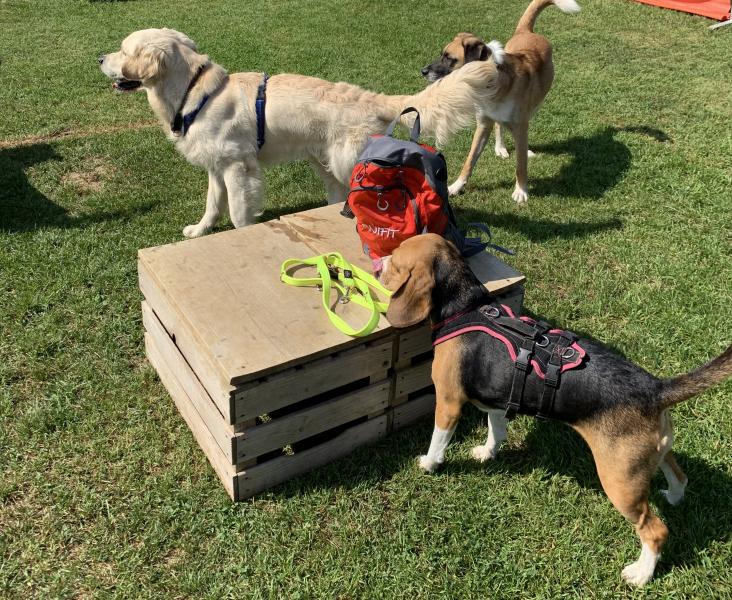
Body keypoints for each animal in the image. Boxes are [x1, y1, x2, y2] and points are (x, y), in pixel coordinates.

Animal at [99, 29, 501, 238]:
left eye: (123, 49)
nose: (99, 58)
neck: (194, 91)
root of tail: (374, 98)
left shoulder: (238, 167)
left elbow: (237, 212)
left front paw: (242, 234)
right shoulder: (216, 166)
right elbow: (213, 204)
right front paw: (199, 231)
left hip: (345, 160)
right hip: (323, 161)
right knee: (337, 195)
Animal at [381, 234, 732, 586]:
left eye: (395, 263)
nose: (380, 265)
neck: (464, 305)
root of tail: (655, 389)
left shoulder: (449, 403)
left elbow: (438, 441)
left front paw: (428, 464)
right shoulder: (499, 397)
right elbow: (496, 429)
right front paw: (488, 452)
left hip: (620, 482)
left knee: (656, 530)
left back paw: (641, 573)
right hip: (653, 455)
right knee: (679, 475)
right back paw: (674, 496)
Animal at [422, 0, 580, 202]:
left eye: (450, 58)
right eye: (442, 54)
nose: (423, 71)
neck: (491, 83)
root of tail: (526, 32)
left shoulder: (520, 125)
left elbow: (521, 165)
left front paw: (521, 191)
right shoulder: (483, 125)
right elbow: (470, 160)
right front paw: (456, 186)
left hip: (536, 102)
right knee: (500, 125)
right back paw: (501, 148)